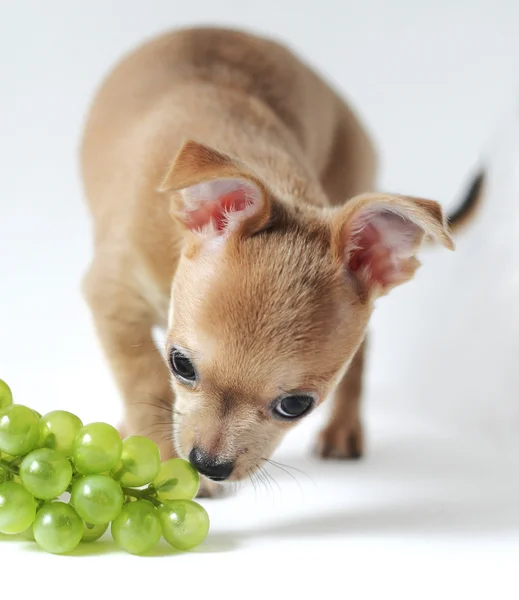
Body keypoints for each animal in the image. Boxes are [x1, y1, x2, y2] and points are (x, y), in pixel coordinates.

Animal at [80, 25, 484, 496]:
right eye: (181, 366)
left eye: (295, 405)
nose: (208, 464)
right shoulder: (113, 297)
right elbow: (145, 381)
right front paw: (161, 455)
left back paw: (343, 431)